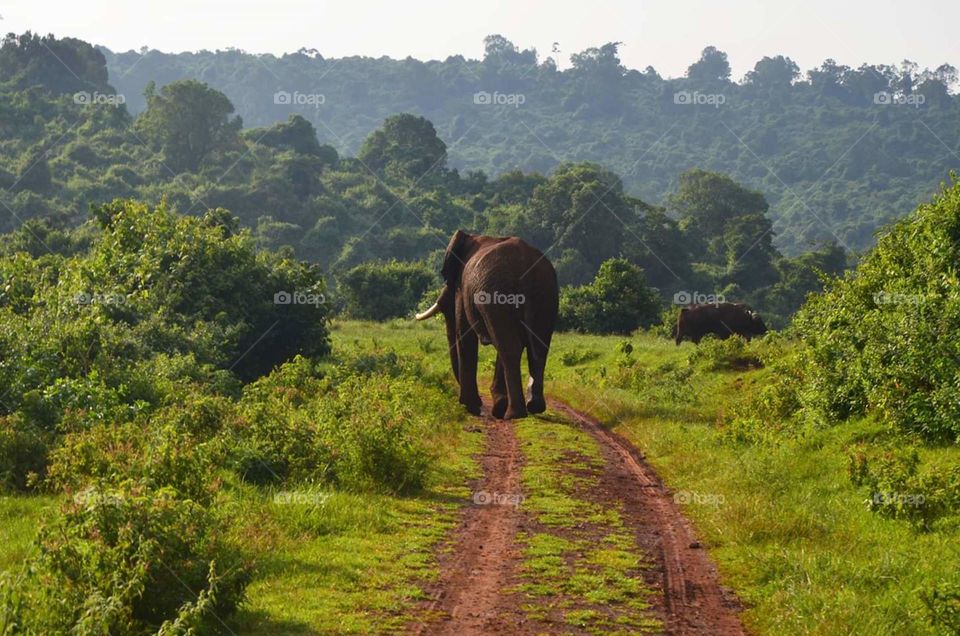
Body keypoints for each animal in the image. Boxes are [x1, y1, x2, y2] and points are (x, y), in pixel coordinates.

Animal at [416, 231, 560, 420]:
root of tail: (525, 264)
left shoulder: (463, 288)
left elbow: (465, 334)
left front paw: (471, 407)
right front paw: (491, 405)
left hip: (497, 292)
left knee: (510, 347)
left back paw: (513, 414)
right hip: (546, 292)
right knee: (537, 347)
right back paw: (532, 407)